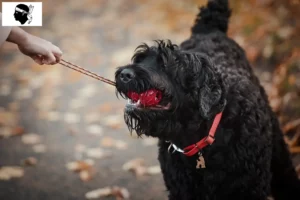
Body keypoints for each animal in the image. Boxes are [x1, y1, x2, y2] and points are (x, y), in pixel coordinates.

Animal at [114, 0, 298, 199]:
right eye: (140, 59)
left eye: (166, 64)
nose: (124, 74)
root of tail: (210, 29)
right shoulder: (181, 190)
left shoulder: (250, 187)